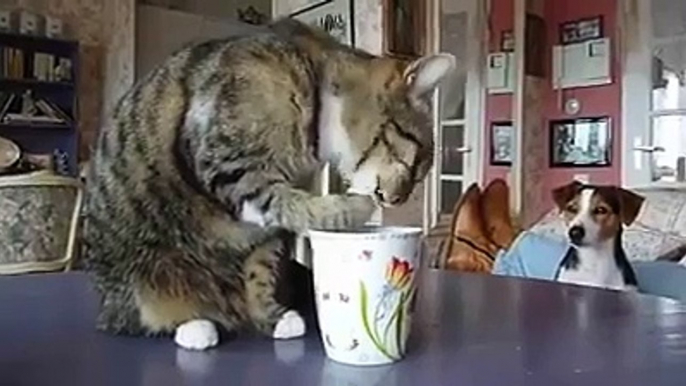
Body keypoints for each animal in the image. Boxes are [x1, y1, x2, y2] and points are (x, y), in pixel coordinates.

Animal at [84, 18, 456, 350]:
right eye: (413, 164)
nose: (395, 200)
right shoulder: (225, 164)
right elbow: (287, 202)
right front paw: (354, 206)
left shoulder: (268, 229)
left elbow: (261, 268)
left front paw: (271, 317)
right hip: (138, 279)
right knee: (138, 317)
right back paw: (193, 325)